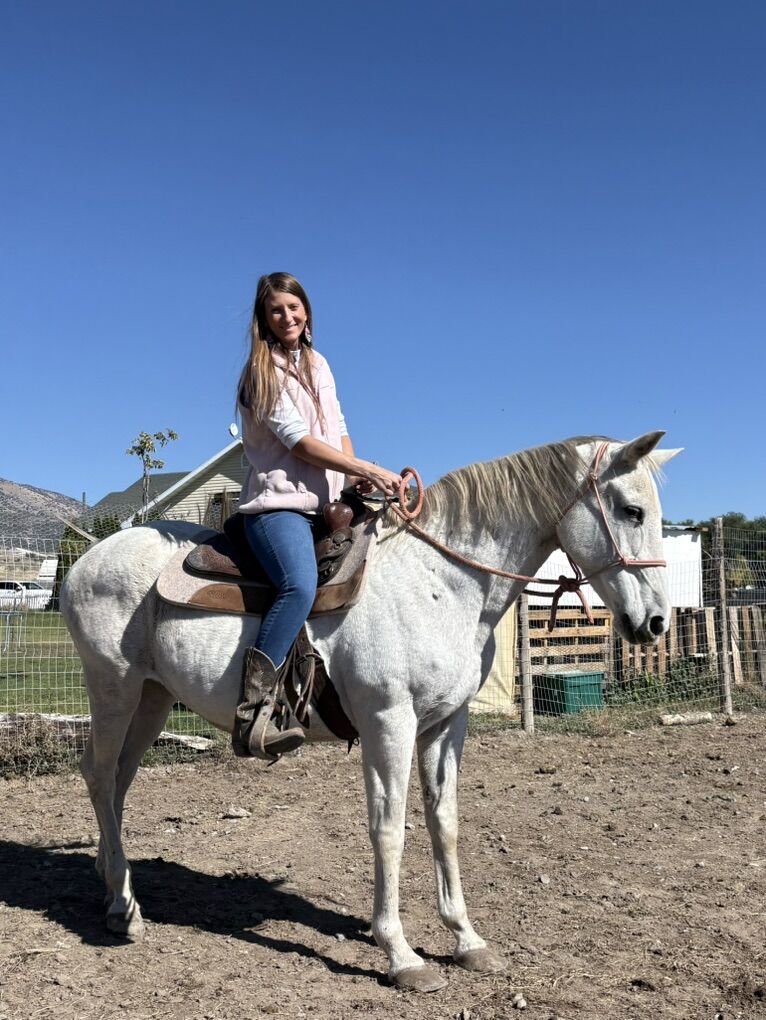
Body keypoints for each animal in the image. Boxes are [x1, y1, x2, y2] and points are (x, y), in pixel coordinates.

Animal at [60, 431, 679, 992]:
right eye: (632, 510)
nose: (654, 622)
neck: (440, 583)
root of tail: (85, 560)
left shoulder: (447, 723)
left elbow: (444, 823)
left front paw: (467, 939)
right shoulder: (390, 722)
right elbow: (389, 830)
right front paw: (401, 954)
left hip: (152, 697)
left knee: (119, 781)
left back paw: (113, 885)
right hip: (113, 688)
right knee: (98, 774)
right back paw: (123, 908)